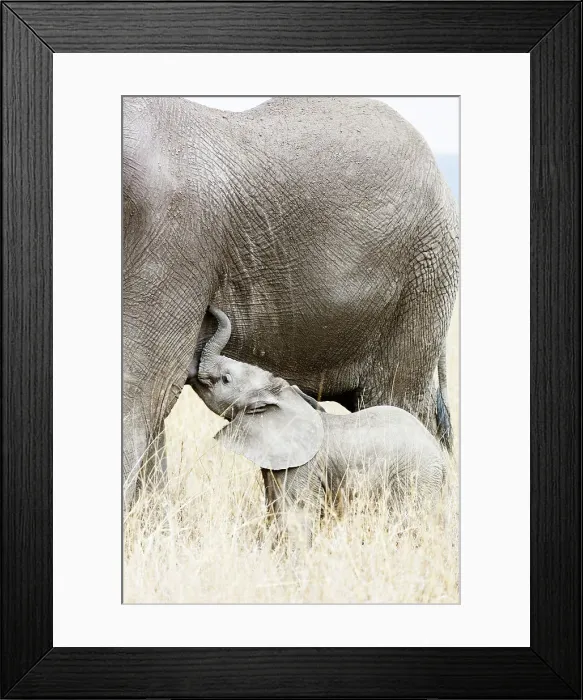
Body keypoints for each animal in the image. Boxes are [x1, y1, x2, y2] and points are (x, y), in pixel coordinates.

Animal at [189, 307, 447, 546]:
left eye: (225, 379)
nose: (211, 308)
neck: (285, 397)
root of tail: (442, 459)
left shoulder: (304, 468)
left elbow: (297, 518)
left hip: (416, 479)